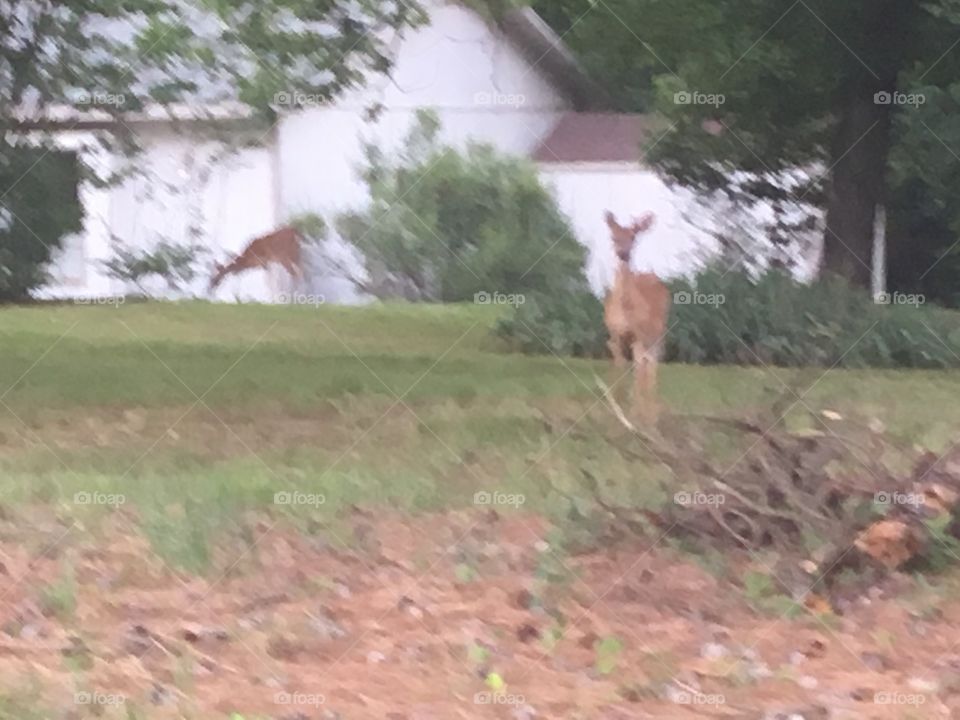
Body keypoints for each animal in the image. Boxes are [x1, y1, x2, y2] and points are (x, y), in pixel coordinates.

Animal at [603, 210, 670, 420]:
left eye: (633, 237)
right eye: (613, 236)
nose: (622, 253)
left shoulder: (639, 335)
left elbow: (639, 369)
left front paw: (634, 412)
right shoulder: (614, 334)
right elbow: (619, 366)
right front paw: (615, 407)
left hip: (658, 333)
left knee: (651, 366)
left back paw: (650, 409)